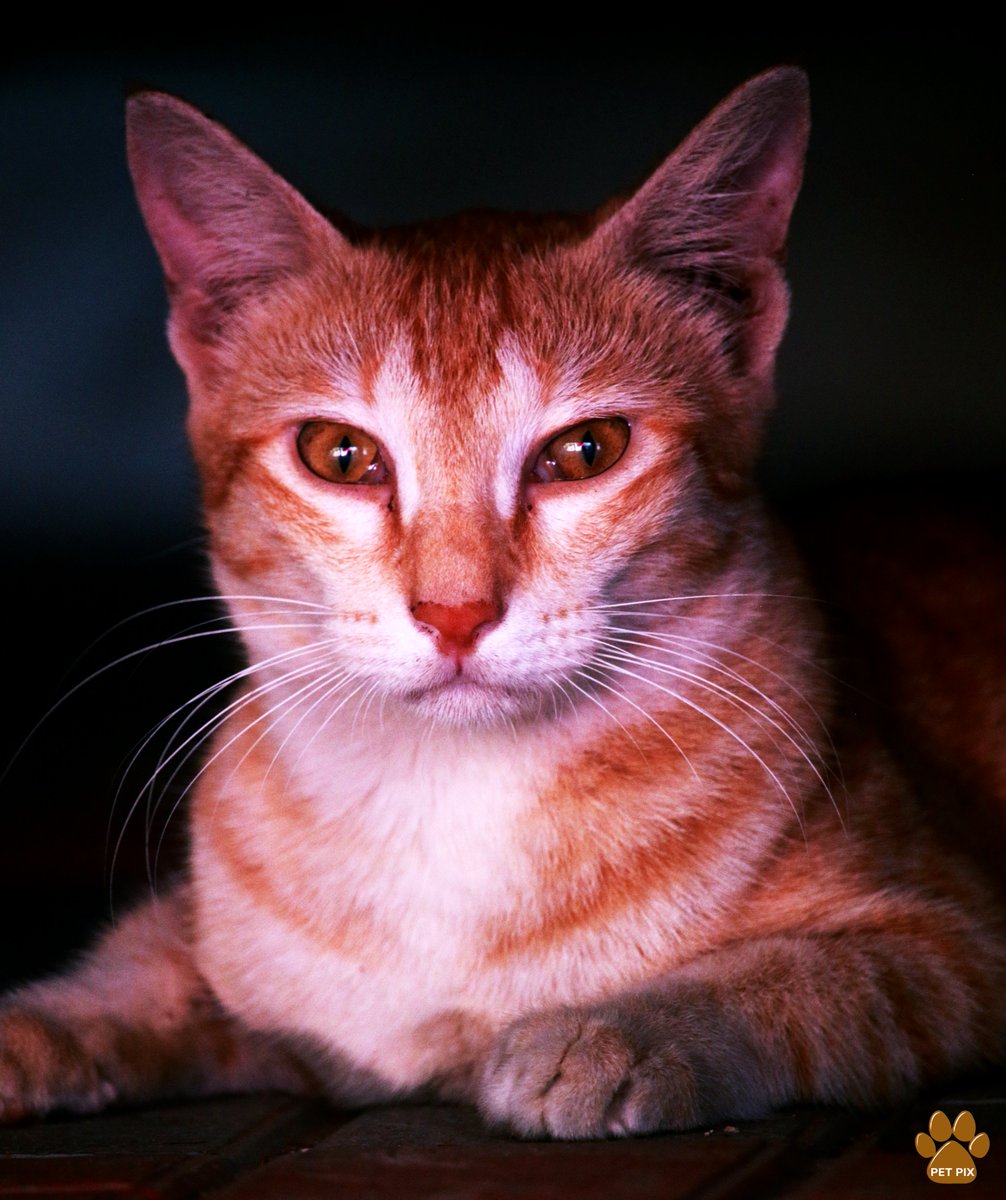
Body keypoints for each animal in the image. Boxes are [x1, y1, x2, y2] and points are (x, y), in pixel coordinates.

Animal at [1, 63, 1006, 1132]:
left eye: (587, 451)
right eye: (339, 454)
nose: (455, 613)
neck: (453, 803)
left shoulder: (954, 947)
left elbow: (796, 981)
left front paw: (618, 1030)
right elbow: (147, 961)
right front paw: (43, 1022)